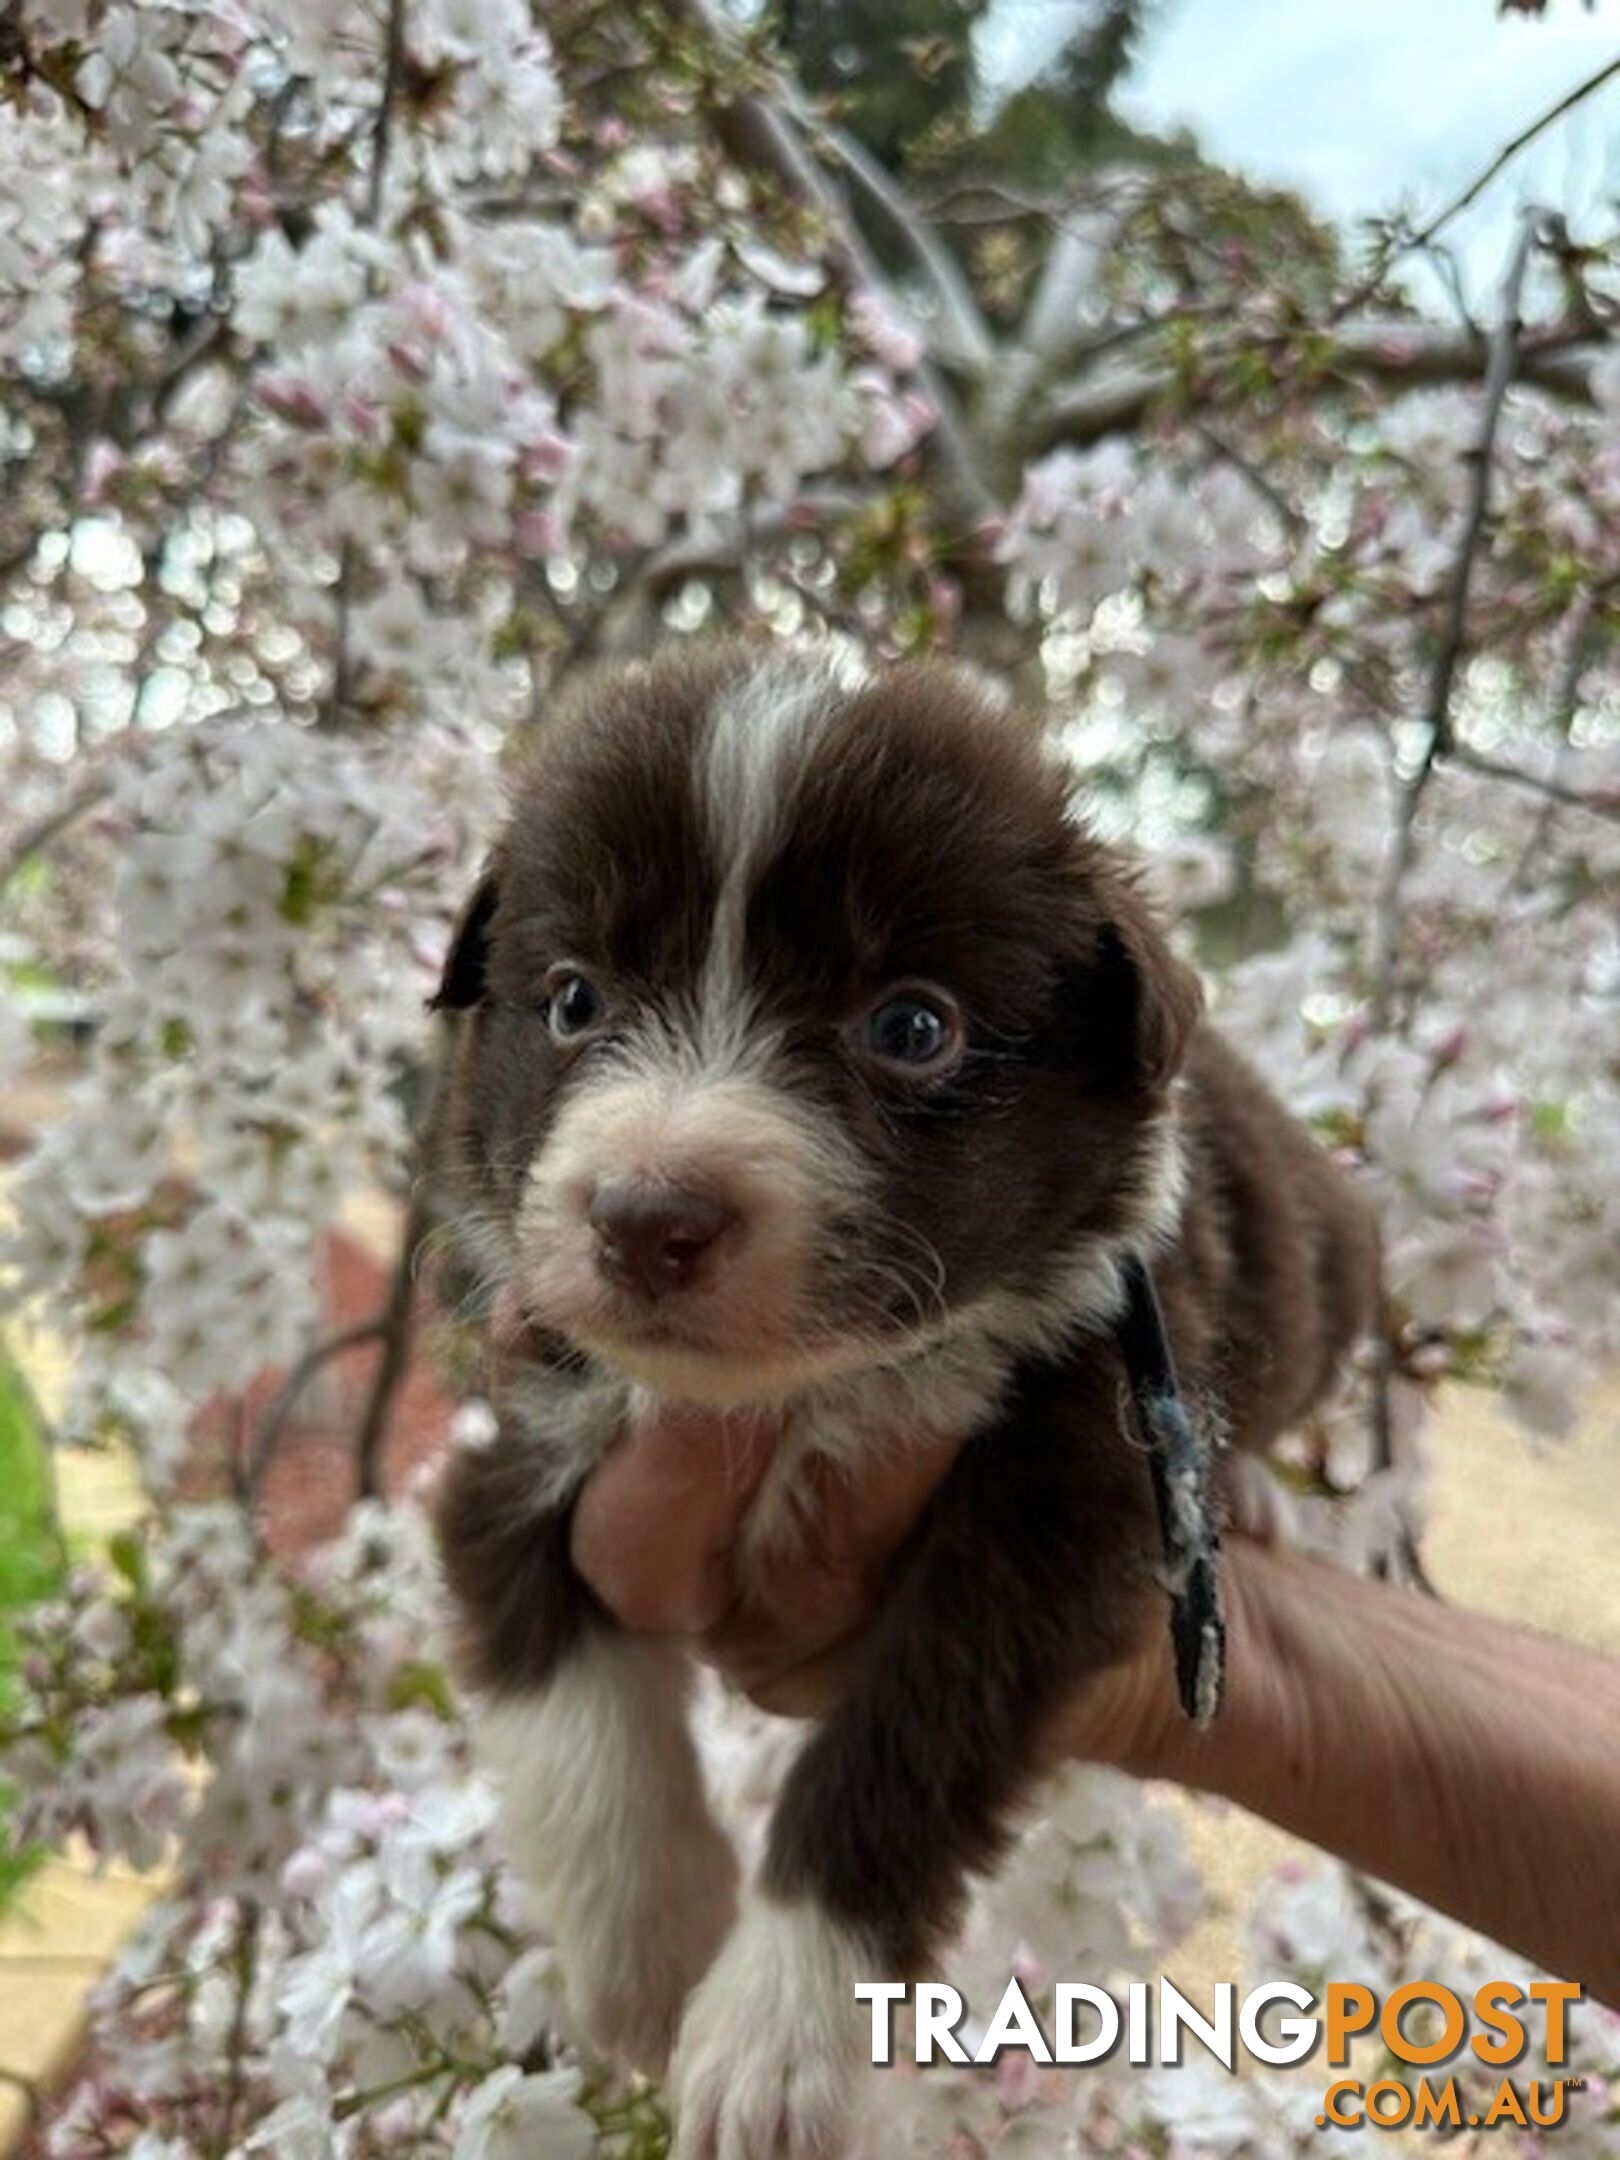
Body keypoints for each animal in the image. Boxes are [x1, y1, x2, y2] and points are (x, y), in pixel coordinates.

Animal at [432, 639, 1382, 2160]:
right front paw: (648, 1959)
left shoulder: (1058, 1495)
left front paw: (776, 2045)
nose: (647, 1219)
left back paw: (1243, 1482)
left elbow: (900, 1752)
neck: (800, 1395)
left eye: (913, 1027)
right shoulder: (521, 1435)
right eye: (574, 999)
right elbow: (568, 1709)